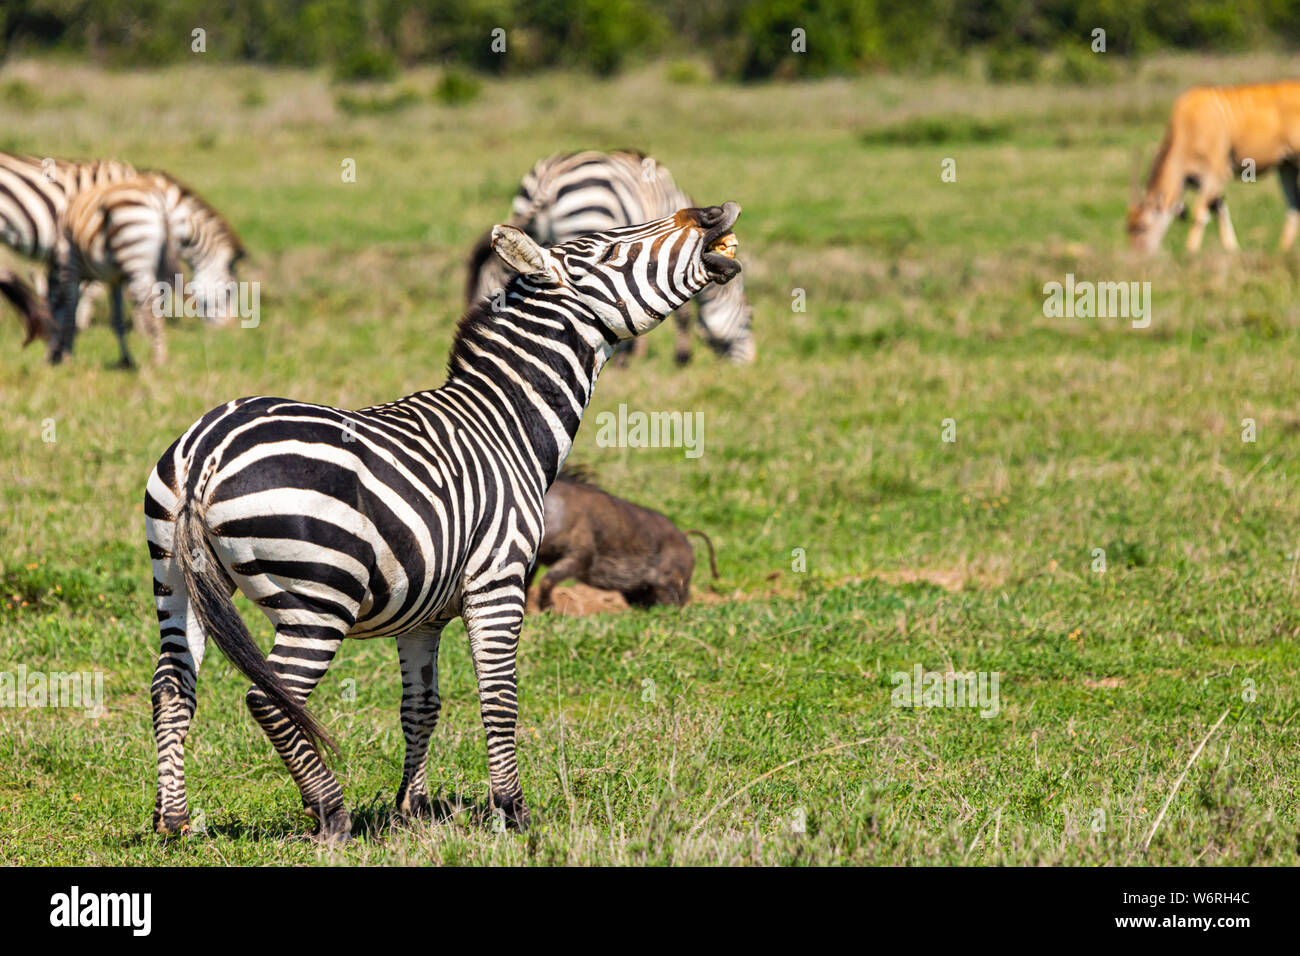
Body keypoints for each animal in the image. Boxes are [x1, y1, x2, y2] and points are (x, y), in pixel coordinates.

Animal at [49, 172, 244, 366]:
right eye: (229, 291)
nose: (230, 330)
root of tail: (159, 202)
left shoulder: (77, 264)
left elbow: (76, 308)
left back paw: (157, 357)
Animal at [145, 202, 742, 842]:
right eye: (608, 250)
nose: (712, 213)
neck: (506, 425)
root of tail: (207, 449)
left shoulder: (422, 614)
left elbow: (421, 706)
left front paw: (414, 808)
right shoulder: (499, 582)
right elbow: (499, 699)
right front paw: (512, 811)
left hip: (177, 582)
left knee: (171, 688)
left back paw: (174, 820)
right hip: (318, 599)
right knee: (270, 697)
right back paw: (330, 812)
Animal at [466, 150, 755, 365]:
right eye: (749, 317)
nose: (749, 366)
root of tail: (548, 179)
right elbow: (675, 310)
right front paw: (680, 358)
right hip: (587, 220)